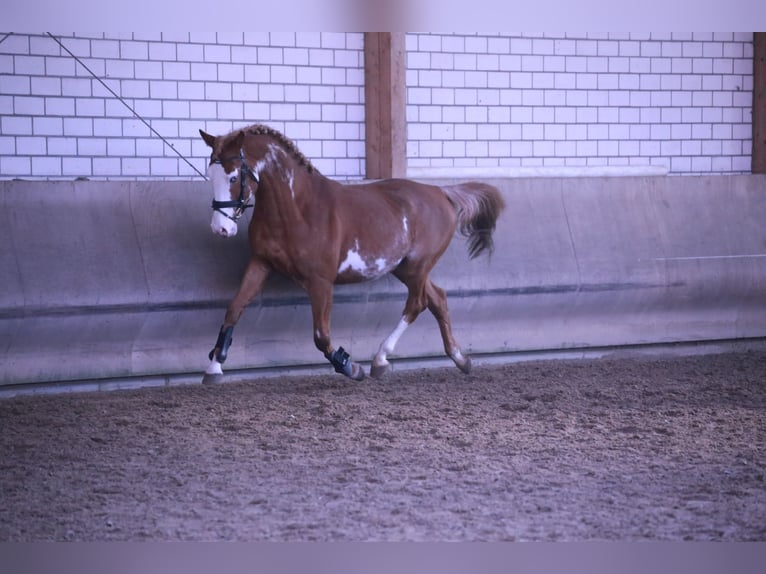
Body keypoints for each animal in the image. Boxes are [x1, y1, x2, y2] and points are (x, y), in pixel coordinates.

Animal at [199, 124, 505, 382]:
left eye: (233, 176)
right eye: (210, 174)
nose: (220, 228)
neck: (297, 208)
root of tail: (442, 193)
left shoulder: (320, 281)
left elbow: (321, 336)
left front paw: (350, 367)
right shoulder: (261, 263)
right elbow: (234, 307)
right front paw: (214, 366)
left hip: (419, 265)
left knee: (417, 304)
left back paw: (380, 360)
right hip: (406, 268)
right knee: (437, 298)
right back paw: (461, 359)